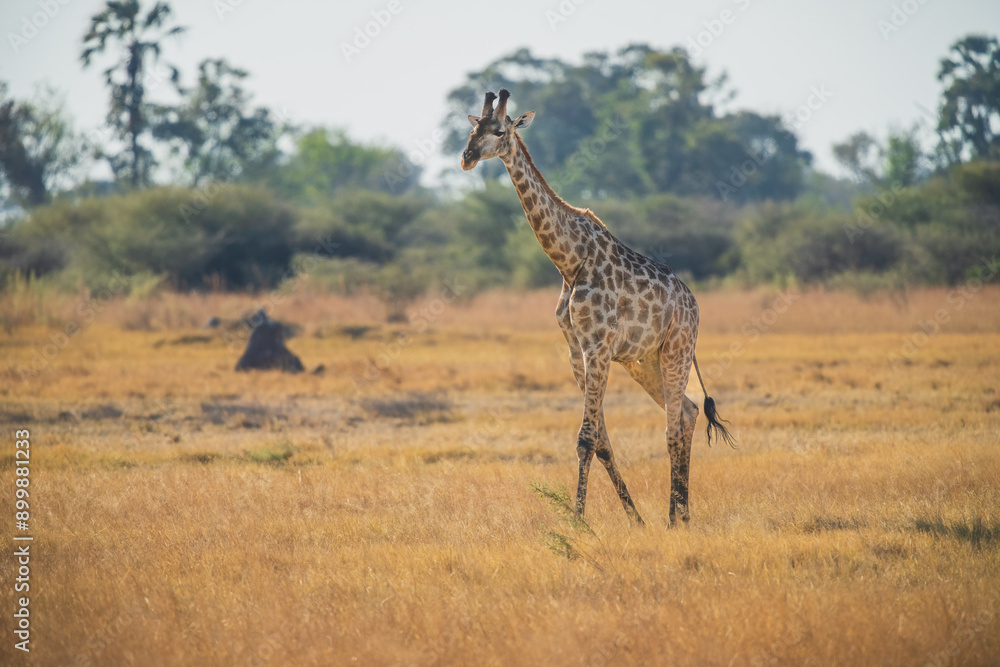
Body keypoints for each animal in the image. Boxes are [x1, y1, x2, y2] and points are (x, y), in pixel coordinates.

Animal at [462, 89, 735, 526]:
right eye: (472, 128)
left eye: (500, 130)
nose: (467, 157)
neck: (569, 261)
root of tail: (693, 305)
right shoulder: (577, 348)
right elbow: (601, 438)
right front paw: (634, 518)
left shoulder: (598, 346)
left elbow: (586, 437)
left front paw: (578, 521)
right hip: (644, 361)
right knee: (689, 413)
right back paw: (680, 514)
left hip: (676, 351)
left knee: (674, 426)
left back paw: (676, 519)